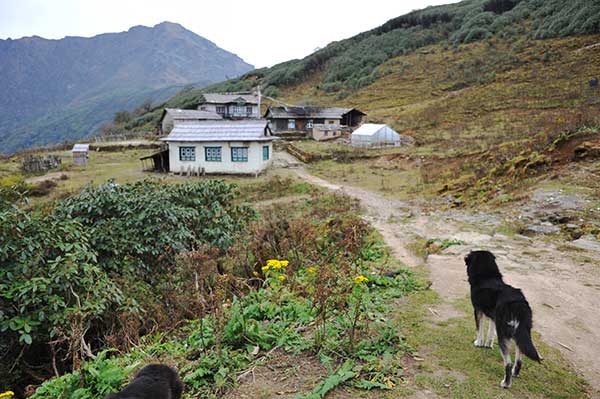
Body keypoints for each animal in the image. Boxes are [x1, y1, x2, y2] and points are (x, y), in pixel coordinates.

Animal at [464, 252, 544, 390]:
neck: (487, 276)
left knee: (508, 363)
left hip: (504, 333)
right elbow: (490, 333)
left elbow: (479, 330)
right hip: (520, 333)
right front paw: (488, 345)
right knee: (519, 359)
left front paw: (478, 343)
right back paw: (515, 374)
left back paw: (506, 383)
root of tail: (518, 305)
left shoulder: (478, 311)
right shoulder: (493, 317)